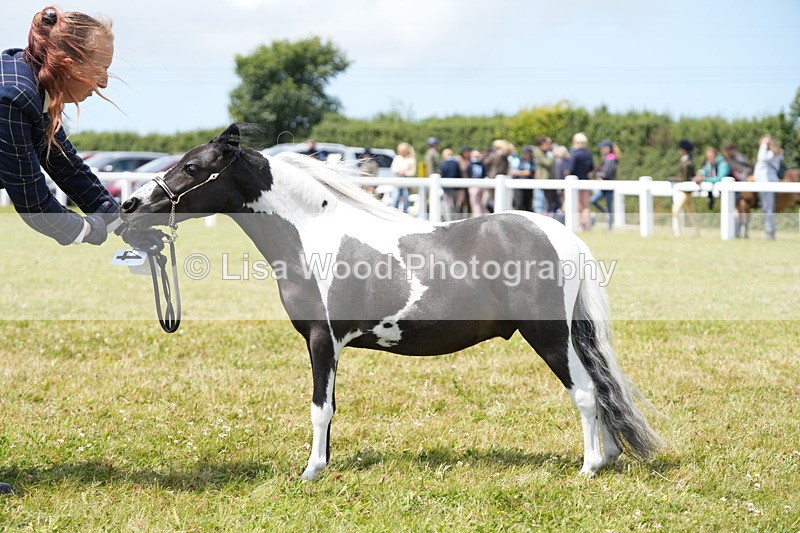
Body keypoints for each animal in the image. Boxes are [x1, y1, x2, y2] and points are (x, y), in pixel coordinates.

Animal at [120, 124, 662, 481]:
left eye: (192, 167)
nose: (129, 205)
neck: (312, 232)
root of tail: (560, 235)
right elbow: (331, 407)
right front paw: (323, 464)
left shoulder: (322, 339)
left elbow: (320, 408)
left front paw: (311, 472)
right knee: (599, 390)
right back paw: (608, 457)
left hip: (548, 335)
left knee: (586, 393)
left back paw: (589, 467)